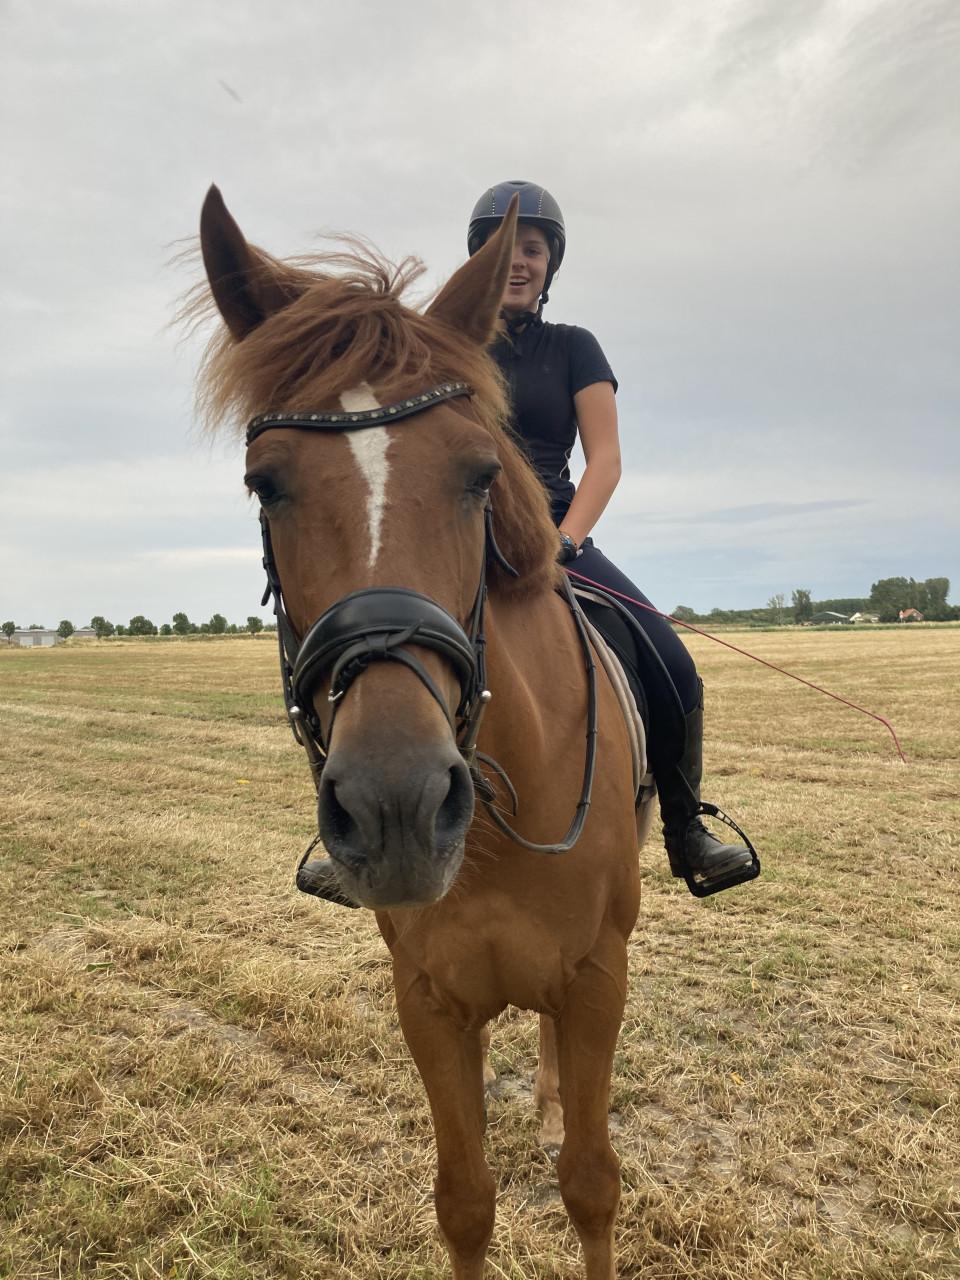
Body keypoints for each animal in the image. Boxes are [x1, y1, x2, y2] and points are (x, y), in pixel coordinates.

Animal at [194, 184, 655, 1279]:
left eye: (482, 474)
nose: (397, 808)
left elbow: (591, 1182)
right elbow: (464, 1201)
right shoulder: (429, 998)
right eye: (265, 482)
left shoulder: (596, 979)